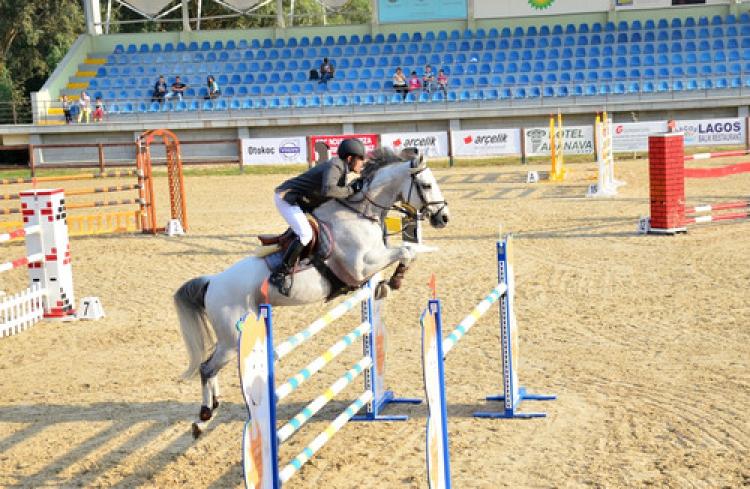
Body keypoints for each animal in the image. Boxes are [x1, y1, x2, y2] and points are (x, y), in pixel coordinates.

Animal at [176, 149, 450, 434]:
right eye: (426, 185)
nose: (443, 218)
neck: (360, 214)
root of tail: (212, 283)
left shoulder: (373, 260)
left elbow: (409, 251)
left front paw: (386, 285)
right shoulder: (360, 267)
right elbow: (406, 251)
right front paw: (394, 281)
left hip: (229, 336)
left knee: (210, 366)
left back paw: (212, 407)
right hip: (233, 338)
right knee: (206, 368)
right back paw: (203, 415)